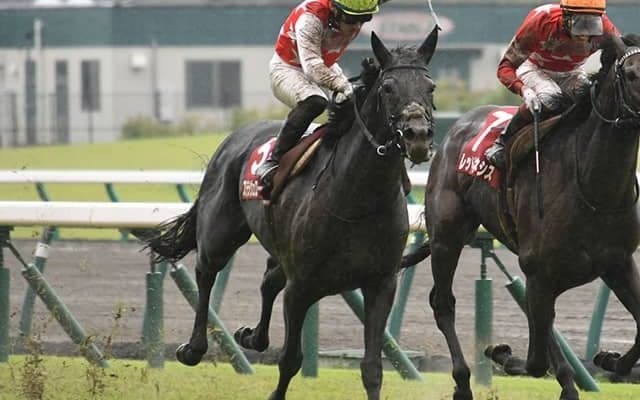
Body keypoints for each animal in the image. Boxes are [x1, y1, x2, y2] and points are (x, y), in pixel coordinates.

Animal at [142, 26, 439, 400]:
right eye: (388, 87)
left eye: (431, 87)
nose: (418, 136)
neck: (357, 201)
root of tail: (234, 138)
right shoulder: (301, 287)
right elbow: (290, 358)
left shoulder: (380, 284)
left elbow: (372, 368)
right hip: (219, 233)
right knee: (206, 273)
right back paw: (194, 348)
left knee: (268, 280)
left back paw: (252, 336)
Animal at [401, 33, 640, 400]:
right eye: (630, 74)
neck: (591, 185)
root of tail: (456, 128)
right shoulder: (540, 271)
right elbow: (535, 361)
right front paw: (502, 353)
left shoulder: (617, 262)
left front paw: (609, 359)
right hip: (446, 237)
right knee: (443, 303)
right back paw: (463, 382)